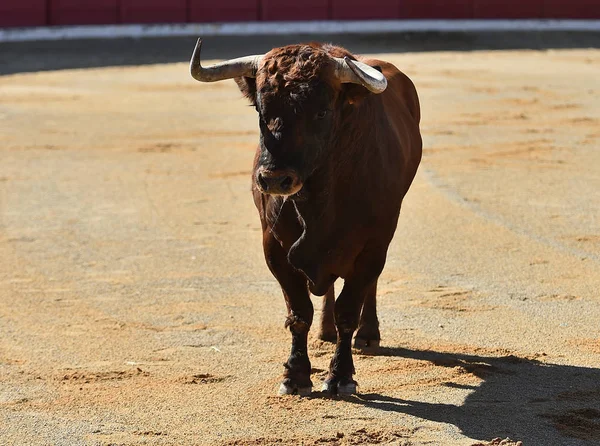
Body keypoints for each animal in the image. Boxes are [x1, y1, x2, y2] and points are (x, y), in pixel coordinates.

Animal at [191, 37, 422, 394]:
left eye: (321, 111)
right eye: (260, 110)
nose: (274, 179)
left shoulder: (374, 244)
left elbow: (348, 310)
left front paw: (341, 376)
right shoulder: (274, 247)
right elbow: (299, 312)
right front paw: (296, 375)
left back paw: (368, 335)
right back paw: (325, 332)